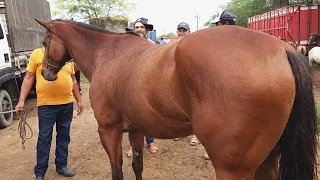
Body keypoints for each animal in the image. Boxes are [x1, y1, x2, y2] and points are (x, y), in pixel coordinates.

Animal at [33, 18, 316, 180]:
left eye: (46, 42)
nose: (45, 73)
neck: (108, 54)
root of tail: (283, 50)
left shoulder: (109, 131)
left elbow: (117, 170)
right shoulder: (136, 129)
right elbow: (137, 165)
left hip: (233, 169)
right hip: (268, 159)